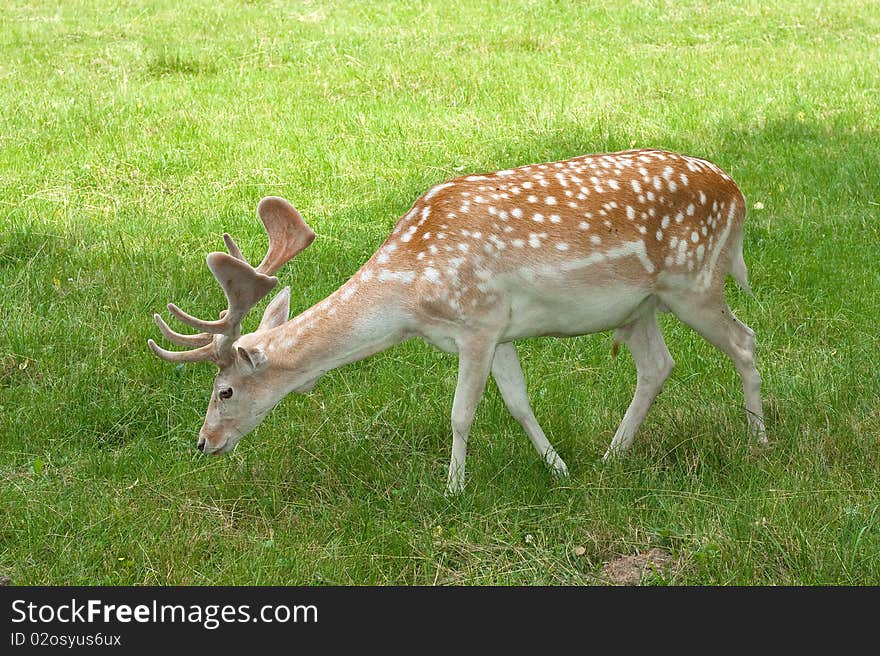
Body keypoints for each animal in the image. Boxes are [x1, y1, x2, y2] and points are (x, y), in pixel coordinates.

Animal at [148, 149, 768, 492]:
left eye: (224, 391)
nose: (202, 443)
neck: (410, 299)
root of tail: (738, 192)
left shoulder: (478, 321)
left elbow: (461, 414)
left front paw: (453, 489)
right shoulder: (503, 331)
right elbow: (519, 403)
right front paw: (560, 469)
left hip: (695, 282)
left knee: (745, 340)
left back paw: (759, 442)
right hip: (639, 306)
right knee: (658, 365)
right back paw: (612, 456)